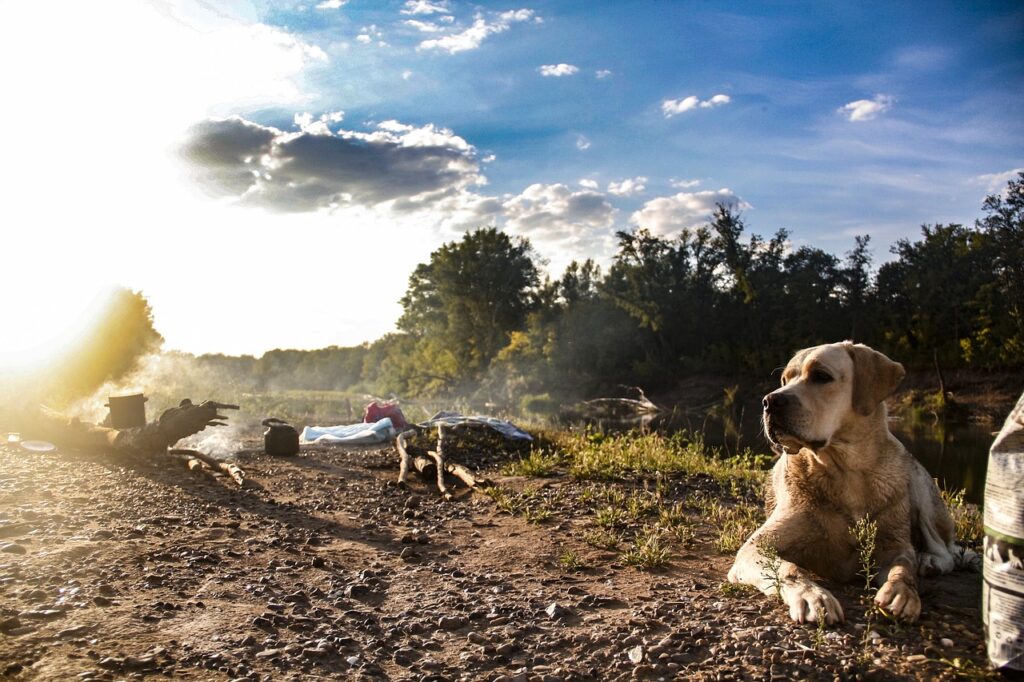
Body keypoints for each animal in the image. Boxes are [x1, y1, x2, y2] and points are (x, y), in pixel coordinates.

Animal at [724, 337, 970, 622]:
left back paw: (928, 561)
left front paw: (902, 592)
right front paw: (812, 595)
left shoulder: (894, 546)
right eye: (785, 379)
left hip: (920, 488)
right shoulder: (756, 547)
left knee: (945, 549)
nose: (769, 401)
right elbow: (789, 569)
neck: (846, 471)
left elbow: (903, 567)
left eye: (821, 376)